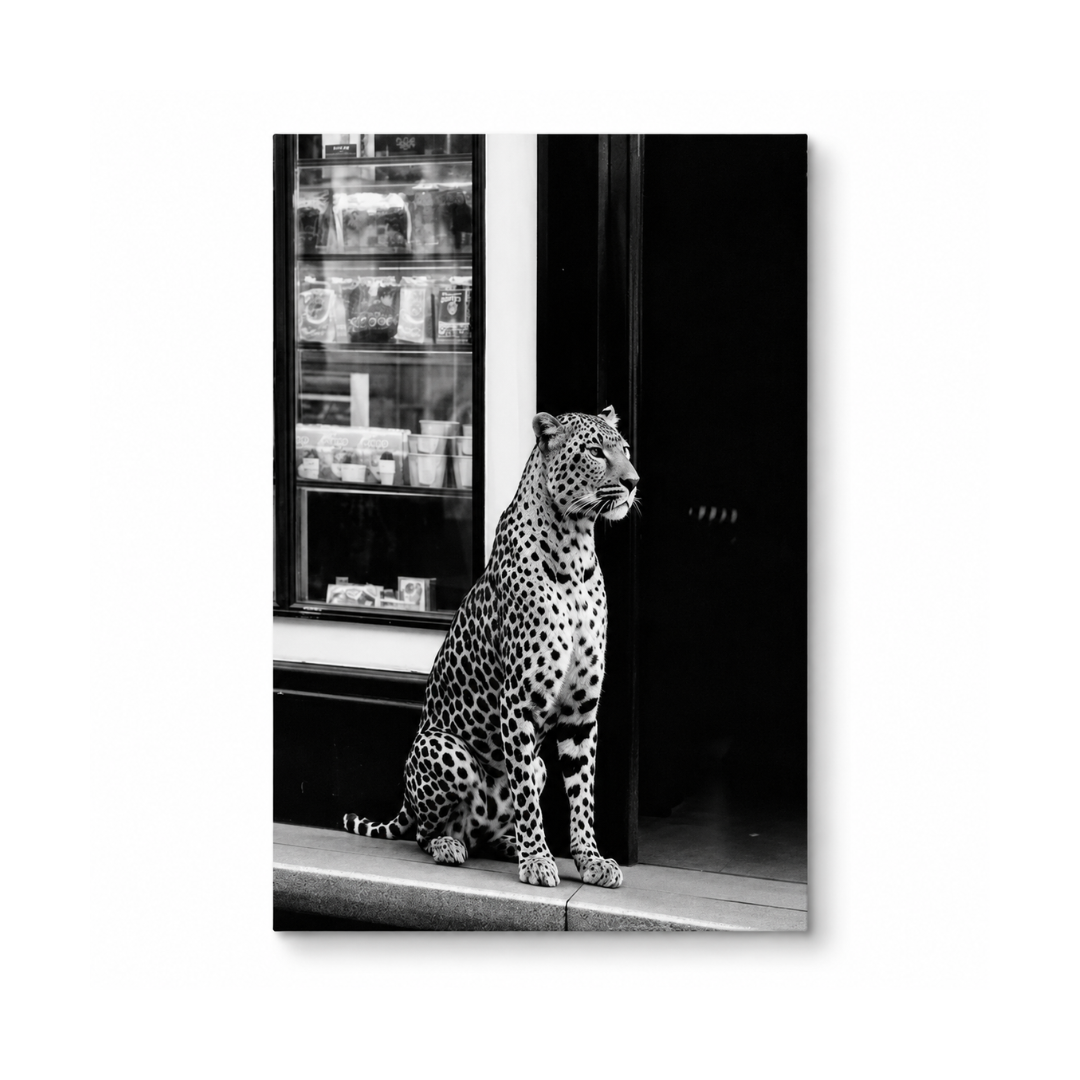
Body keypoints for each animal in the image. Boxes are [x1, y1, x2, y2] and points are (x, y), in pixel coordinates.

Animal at [344, 406, 639, 888]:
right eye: (596, 451)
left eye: (626, 450)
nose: (633, 481)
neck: (577, 549)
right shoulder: (518, 701)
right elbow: (524, 794)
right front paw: (537, 860)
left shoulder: (582, 711)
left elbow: (582, 795)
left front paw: (590, 859)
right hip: (444, 749)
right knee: (427, 832)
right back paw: (453, 845)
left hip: (535, 766)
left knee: (497, 821)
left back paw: (508, 845)